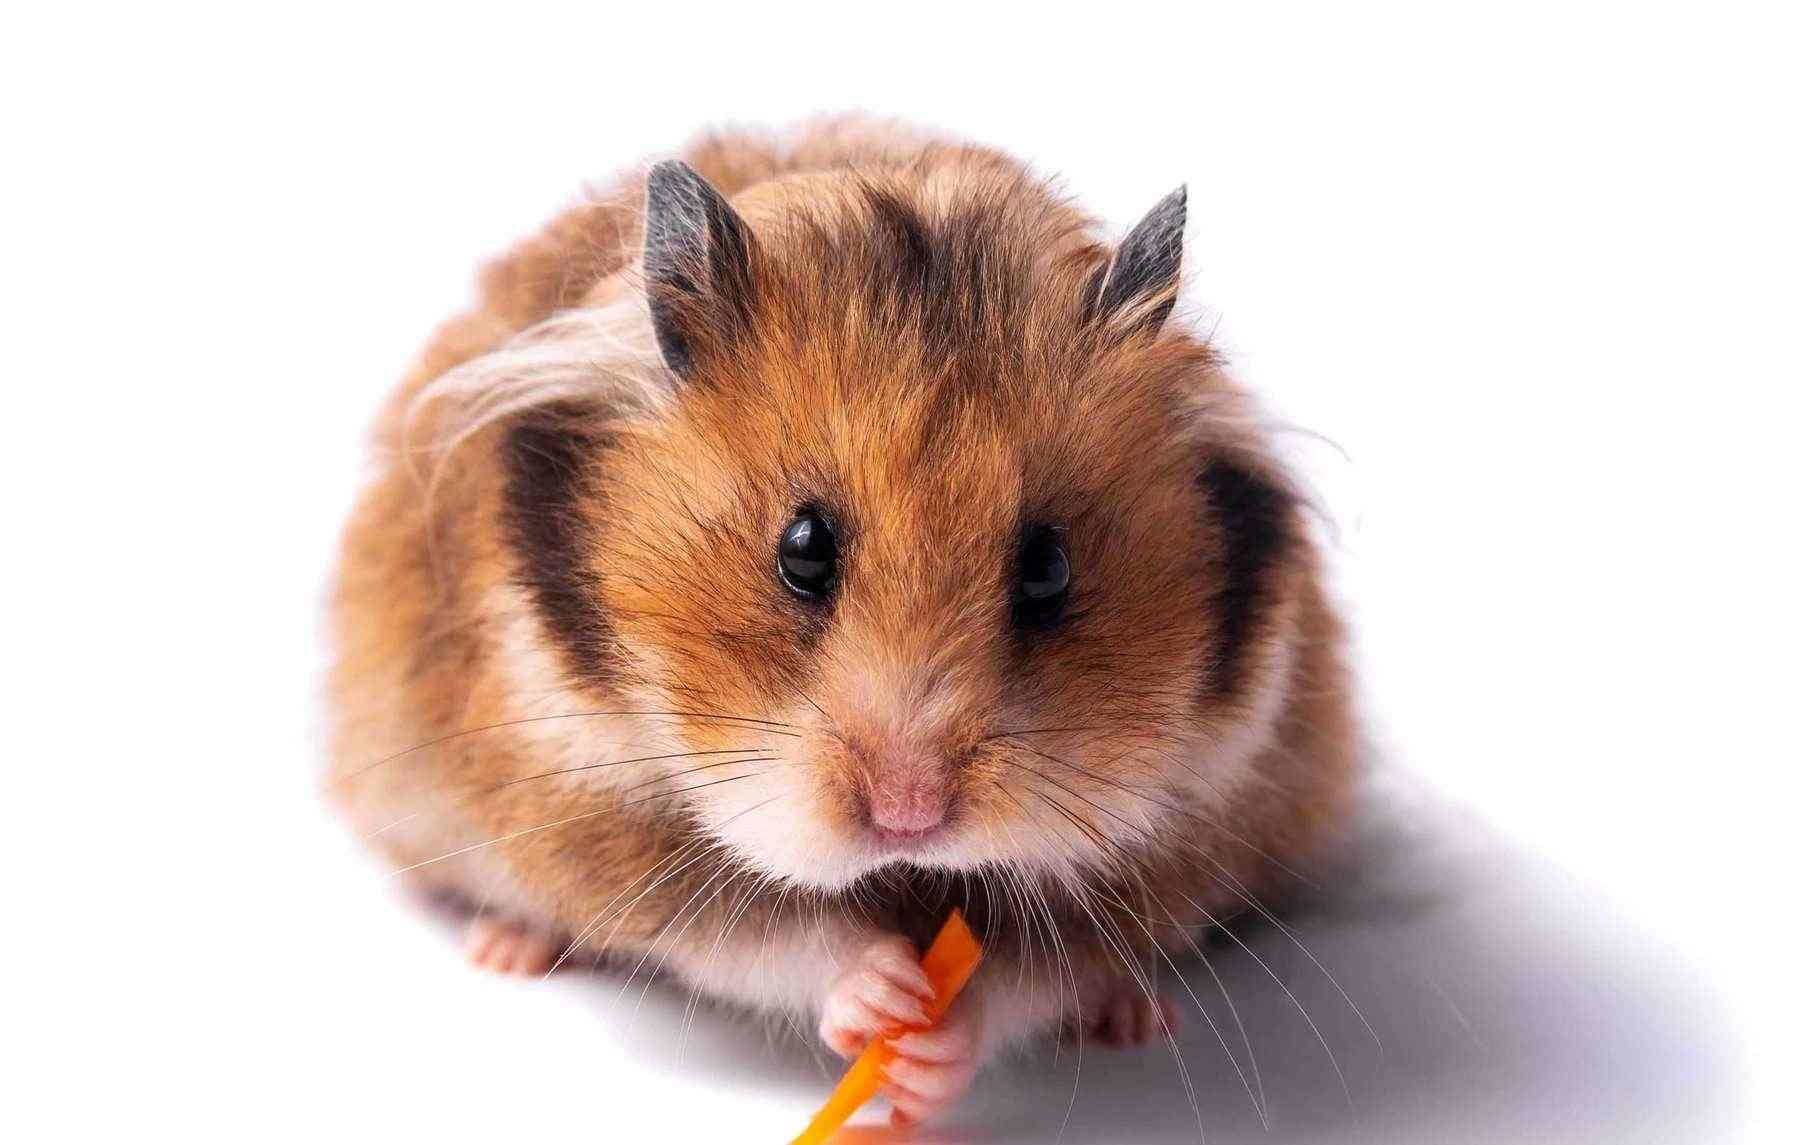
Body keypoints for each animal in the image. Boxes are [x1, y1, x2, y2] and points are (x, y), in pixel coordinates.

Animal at [326, 116, 1358, 1127]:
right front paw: (883, 996)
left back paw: (1132, 1017)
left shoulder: (1185, 825)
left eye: (1048, 567)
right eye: (803, 547)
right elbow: (768, 931)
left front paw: (929, 1047)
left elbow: (1028, 967)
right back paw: (508, 946)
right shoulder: (595, 808)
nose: (910, 814)